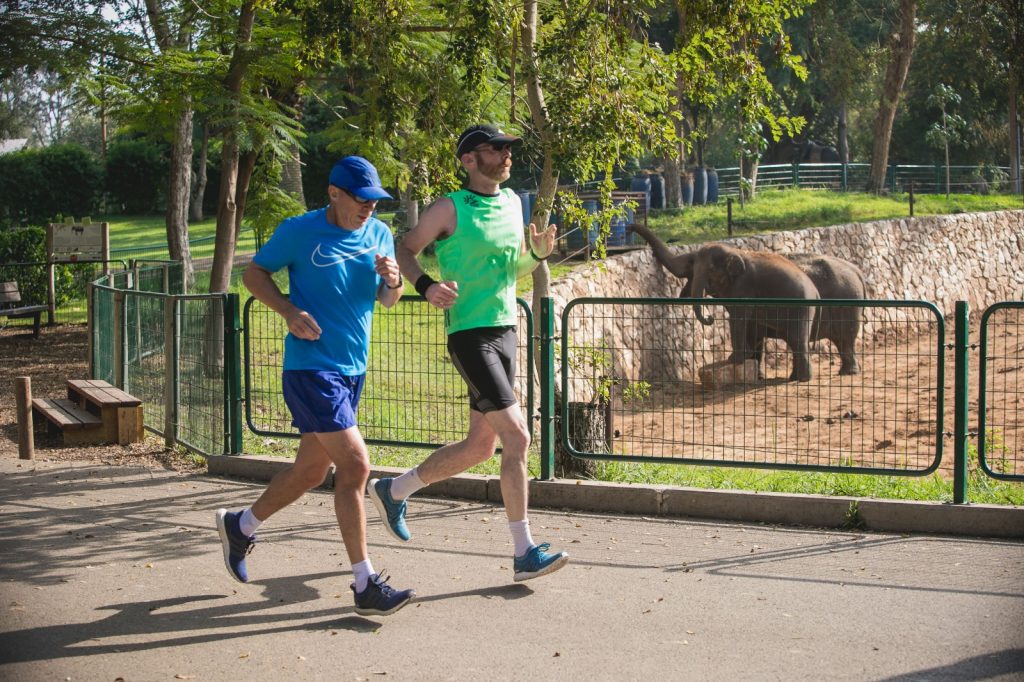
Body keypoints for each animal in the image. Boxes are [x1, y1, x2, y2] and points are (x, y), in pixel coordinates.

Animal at [688, 241, 815, 378]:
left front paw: (734, 360)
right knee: (792, 340)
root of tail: (815, 291)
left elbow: (736, 317)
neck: (733, 251)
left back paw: (803, 379)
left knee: (796, 339)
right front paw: (745, 356)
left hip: (801, 309)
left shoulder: (743, 285)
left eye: (711, 269)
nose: (710, 318)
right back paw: (795, 377)